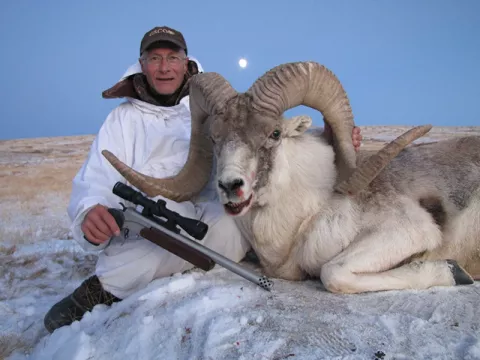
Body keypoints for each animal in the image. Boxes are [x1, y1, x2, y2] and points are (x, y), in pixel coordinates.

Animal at [102, 61, 480, 292]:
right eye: (214, 137)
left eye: (274, 134)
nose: (230, 187)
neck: (307, 215)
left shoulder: (407, 231)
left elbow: (333, 273)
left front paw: (455, 272)